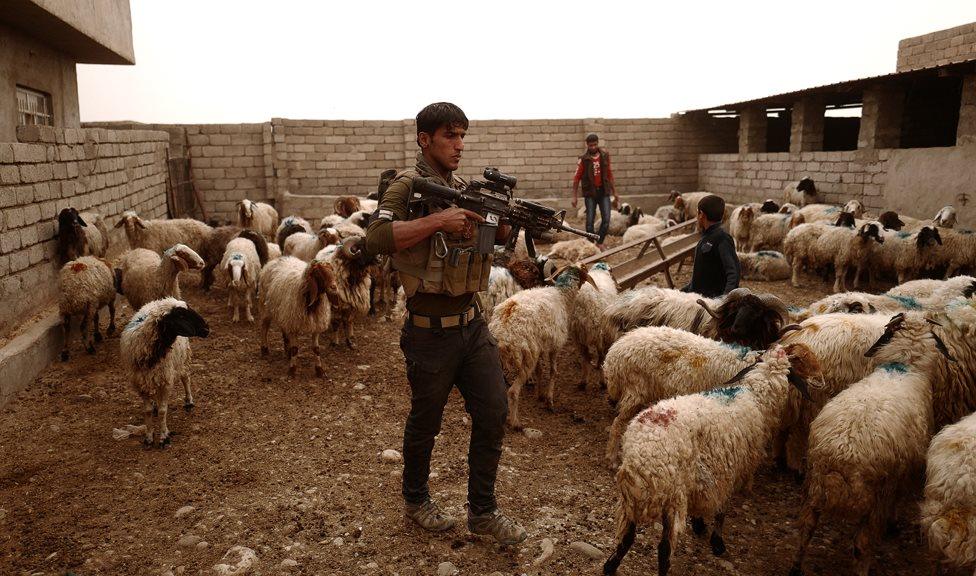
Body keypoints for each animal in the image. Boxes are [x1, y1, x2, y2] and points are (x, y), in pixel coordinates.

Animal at [118, 296, 210, 450]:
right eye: (181, 315)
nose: (207, 329)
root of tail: (156, 301)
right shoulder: (141, 383)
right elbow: (147, 411)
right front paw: (149, 438)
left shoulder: (166, 381)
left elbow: (163, 411)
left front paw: (163, 438)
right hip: (155, 378)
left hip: (183, 359)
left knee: (186, 379)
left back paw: (189, 401)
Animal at [488, 264, 596, 430]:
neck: (562, 296)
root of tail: (502, 329)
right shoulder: (555, 345)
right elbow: (553, 371)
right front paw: (549, 400)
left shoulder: (538, 348)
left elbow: (539, 371)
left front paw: (540, 394)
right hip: (526, 358)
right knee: (512, 392)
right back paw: (515, 422)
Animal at [608, 344, 820, 572]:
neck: (755, 395)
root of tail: (642, 452)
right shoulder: (731, 470)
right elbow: (721, 510)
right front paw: (717, 541)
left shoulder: (703, 475)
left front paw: (699, 523)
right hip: (673, 495)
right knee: (664, 549)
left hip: (635, 497)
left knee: (626, 535)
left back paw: (609, 567)